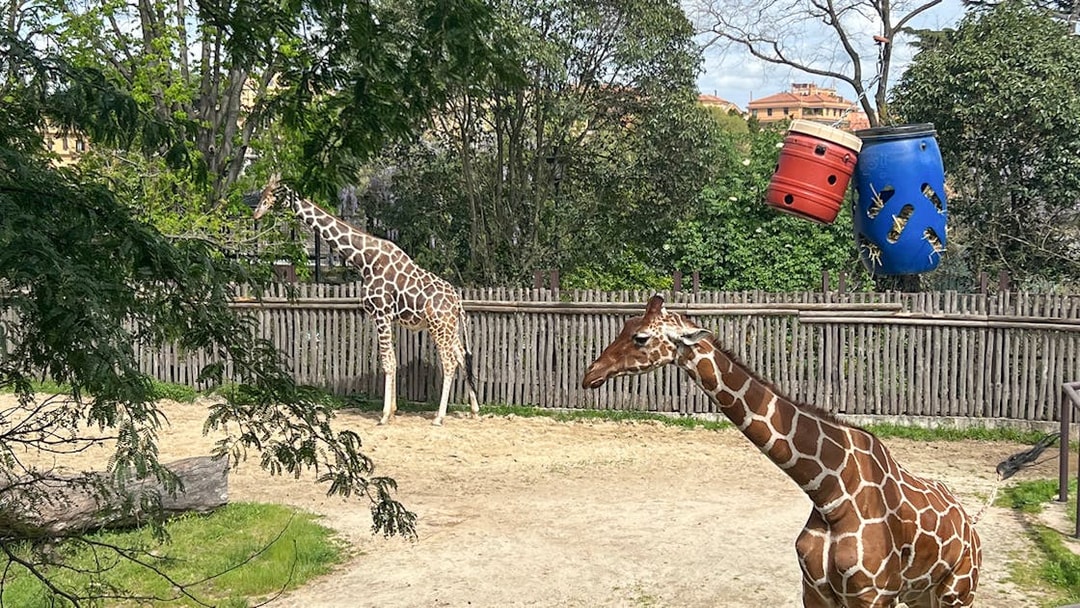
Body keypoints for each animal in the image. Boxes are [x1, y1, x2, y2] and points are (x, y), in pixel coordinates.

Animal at [253, 175, 480, 426]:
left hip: (438, 327)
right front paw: (393, 410)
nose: (256, 213)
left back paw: (439, 417)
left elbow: (387, 361)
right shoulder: (387, 317)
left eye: (272, 194)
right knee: (462, 356)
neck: (365, 260)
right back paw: (474, 409)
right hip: (450, 328)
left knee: (449, 362)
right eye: (263, 192)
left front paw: (384, 416)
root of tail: (457, 302)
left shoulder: (381, 313)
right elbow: (392, 359)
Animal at [581, 295, 981, 608]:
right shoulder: (815, 592)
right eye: (625, 325)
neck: (830, 494)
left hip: (958, 592)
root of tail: (969, 526)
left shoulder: (873, 596)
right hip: (921, 596)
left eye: (640, 337)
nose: (590, 374)